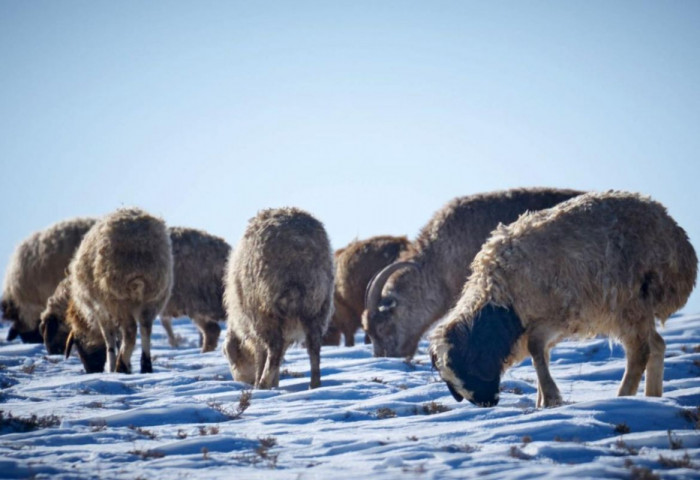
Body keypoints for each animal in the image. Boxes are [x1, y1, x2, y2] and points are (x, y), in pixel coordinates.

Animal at [65, 208, 173, 374]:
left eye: (77, 343)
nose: (91, 370)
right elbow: (117, 339)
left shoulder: (101, 310)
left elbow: (109, 339)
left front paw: (112, 366)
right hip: (154, 297)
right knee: (145, 328)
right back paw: (145, 367)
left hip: (118, 298)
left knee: (130, 332)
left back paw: (120, 366)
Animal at [223, 207, 334, 390]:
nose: (241, 381)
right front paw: (275, 382)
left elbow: (262, 355)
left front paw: (263, 381)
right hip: (317, 306)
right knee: (313, 347)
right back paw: (315, 384)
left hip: (265, 307)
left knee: (275, 349)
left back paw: (262, 384)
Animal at [430, 191, 696, 408]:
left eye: (467, 367)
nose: (487, 402)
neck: (503, 302)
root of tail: (679, 242)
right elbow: (540, 354)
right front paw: (542, 401)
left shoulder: (557, 316)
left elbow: (536, 350)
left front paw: (550, 399)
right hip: (636, 308)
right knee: (657, 345)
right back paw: (653, 397)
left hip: (629, 303)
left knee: (639, 352)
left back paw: (624, 398)